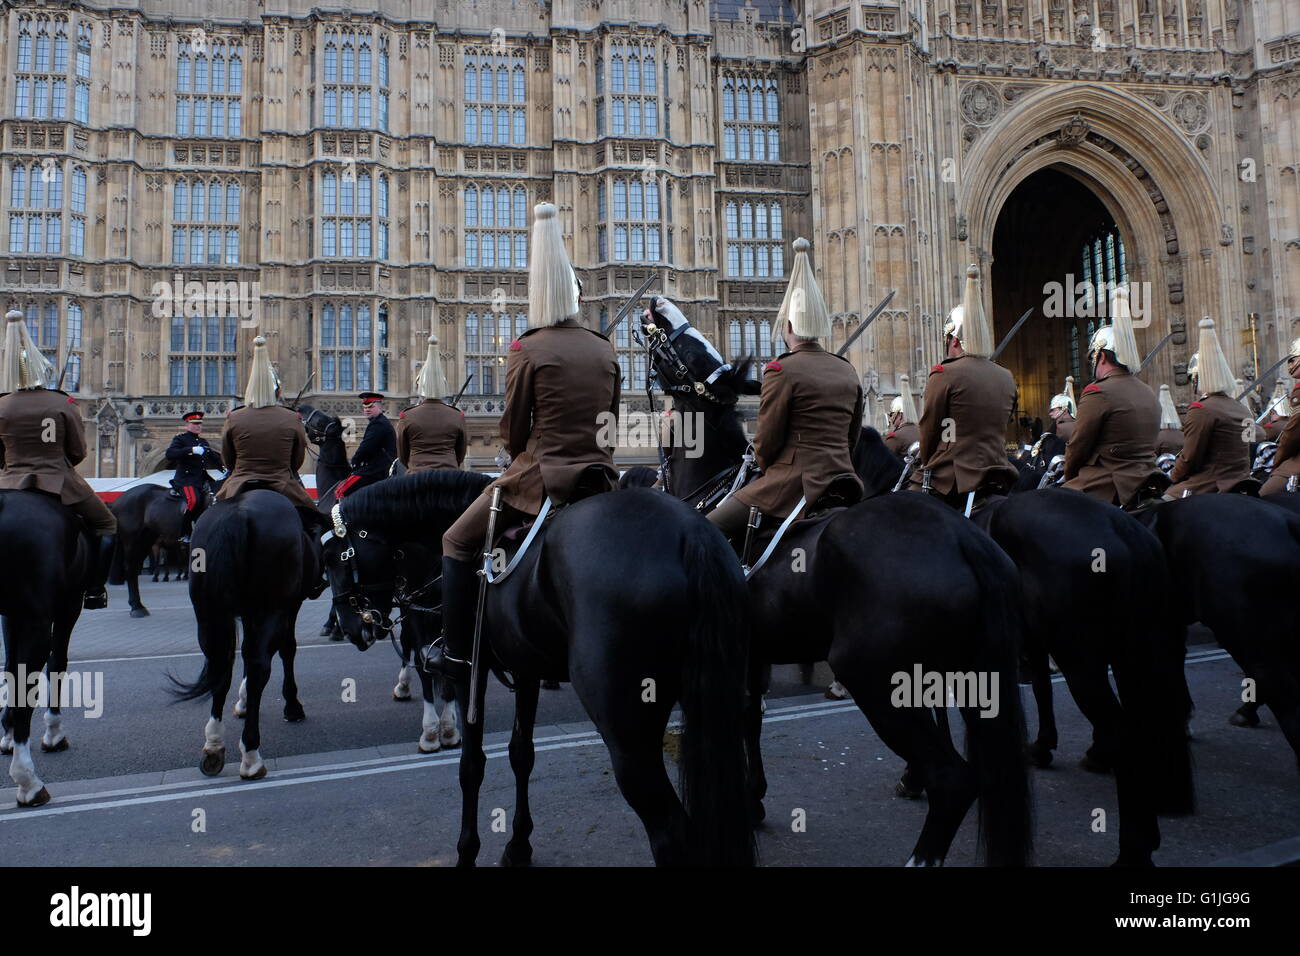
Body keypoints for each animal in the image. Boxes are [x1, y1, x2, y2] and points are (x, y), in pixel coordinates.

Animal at [0, 489, 94, 806]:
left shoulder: (12, 616)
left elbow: (10, 669)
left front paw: (6, 733)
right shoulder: (68, 606)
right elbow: (57, 663)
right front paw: (53, 732)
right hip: (42, 623)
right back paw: (28, 781)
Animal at [170, 494, 317, 780]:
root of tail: (236, 513)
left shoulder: (249, 615)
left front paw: (243, 700)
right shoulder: (289, 606)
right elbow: (287, 649)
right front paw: (291, 705)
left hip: (209, 617)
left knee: (221, 668)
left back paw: (214, 745)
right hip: (271, 609)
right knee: (259, 665)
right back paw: (251, 754)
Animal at [321, 470, 759, 868]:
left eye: (334, 560)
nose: (351, 626)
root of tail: (691, 535)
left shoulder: (470, 674)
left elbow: (471, 765)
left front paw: (467, 852)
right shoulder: (526, 670)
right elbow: (521, 754)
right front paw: (518, 846)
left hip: (627, 726)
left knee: (671, 832)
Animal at [644, 323, 1029, 868]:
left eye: (689, 350)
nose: (655, 316)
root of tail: (965, 539)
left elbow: (740, 716)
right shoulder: (753, 652)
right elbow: (750, 715)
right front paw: (755, 798)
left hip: (876, 673)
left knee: (953, 778)